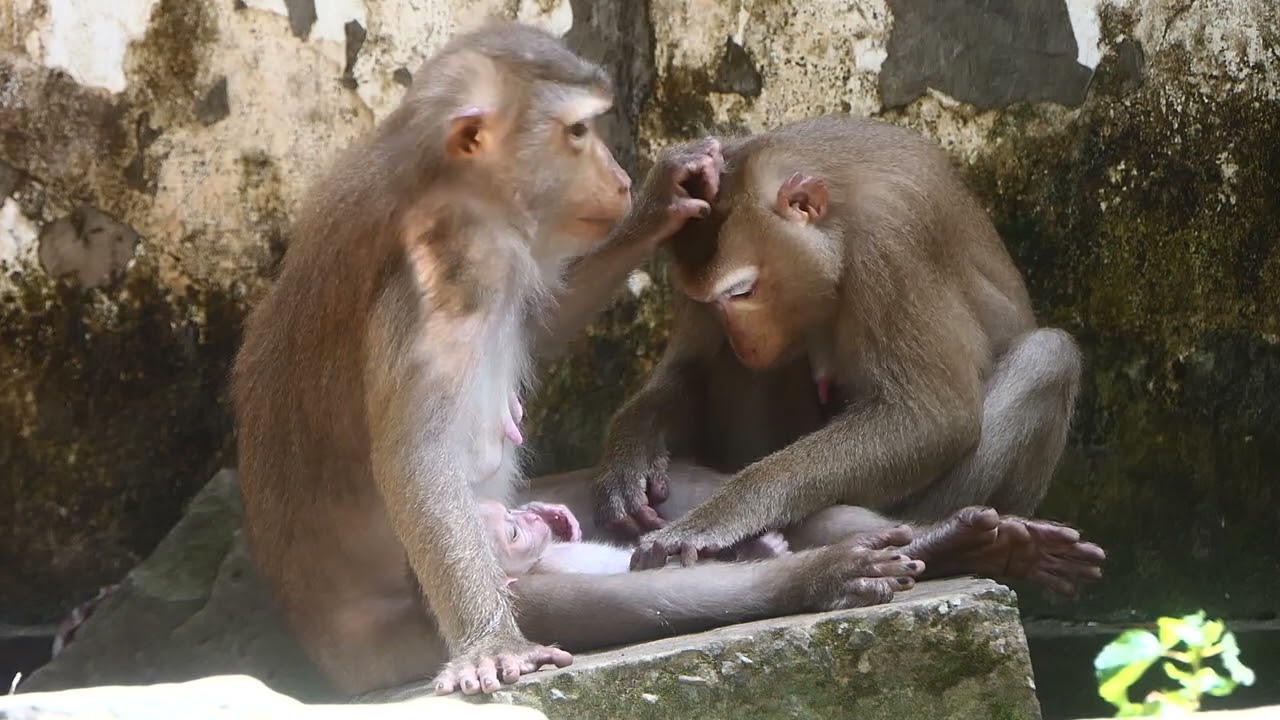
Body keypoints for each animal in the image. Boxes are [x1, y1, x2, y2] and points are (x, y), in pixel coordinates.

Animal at [231, 24, 934, 701]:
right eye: (577, 131)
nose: (620, 177)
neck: (447, 186)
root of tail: (327, 655)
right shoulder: (441, 278)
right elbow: (416, 458)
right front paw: (491, 645)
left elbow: (538, 323)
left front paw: (665, 198)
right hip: (422, 622)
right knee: (611, 598)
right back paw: (819, 574)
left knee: (673, 488)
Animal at [590, 114, 1106, 594]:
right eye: (707, 301)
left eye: (741, 293)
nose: (742, 339)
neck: (837, 216)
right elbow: (690, 369)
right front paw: (632, 452)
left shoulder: (890, 242)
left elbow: (934, 417)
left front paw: (722, 513)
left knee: (1049, 355)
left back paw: (943, 541)